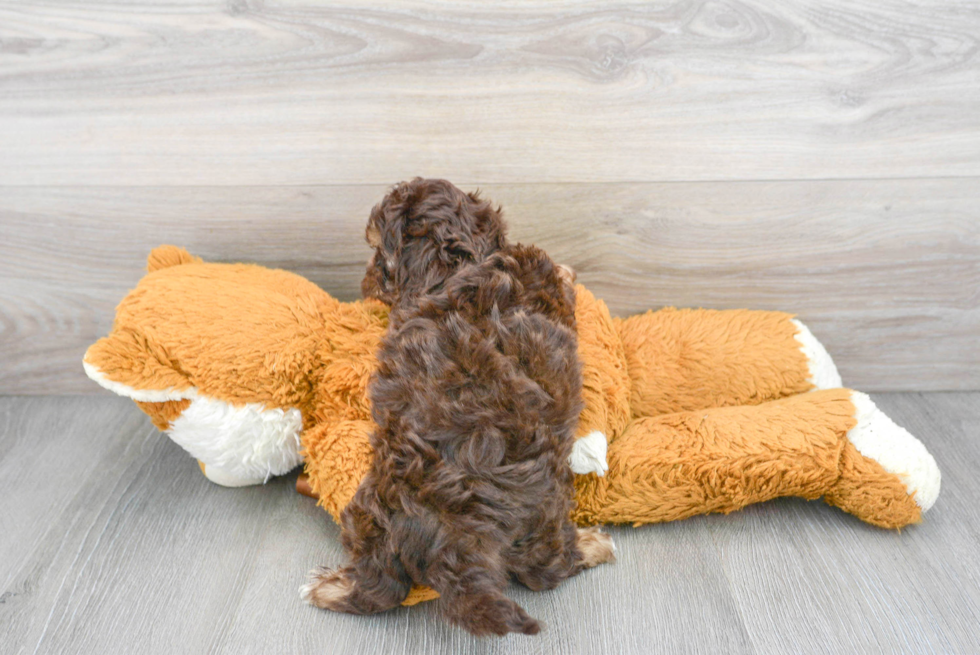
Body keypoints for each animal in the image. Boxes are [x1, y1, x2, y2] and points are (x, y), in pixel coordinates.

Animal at [302, 179, 616, 636]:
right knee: (543, 570)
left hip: (370, 511)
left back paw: (330, 588)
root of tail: (449, 537)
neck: (454, 265)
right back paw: (593, 546)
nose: (364, 284)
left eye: (380, 256)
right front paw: (568, 270)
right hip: (545, 512)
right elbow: (558, 273)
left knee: (378, 587)